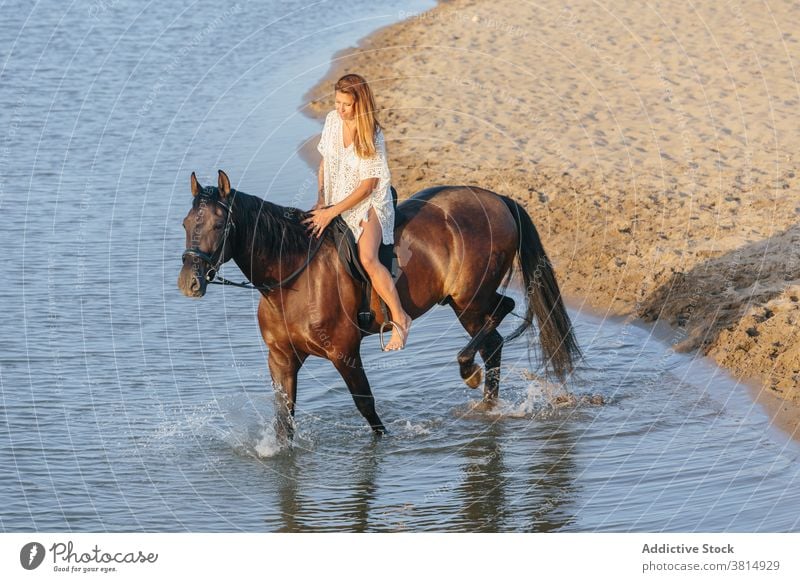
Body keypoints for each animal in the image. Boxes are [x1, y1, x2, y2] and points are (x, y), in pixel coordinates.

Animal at [178, 169, 580, 438]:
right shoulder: (281, 358)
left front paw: (384, 442)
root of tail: (498, 199)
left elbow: (366, 405)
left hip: (470, 298)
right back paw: (486, 404)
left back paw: (469, 371)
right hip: (462, 303)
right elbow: (284, 416)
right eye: (185, 223)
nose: (189, 283)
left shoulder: (344, 352)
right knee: (493, 342)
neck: (291, 277)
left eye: (219, 225)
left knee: (503, 311)